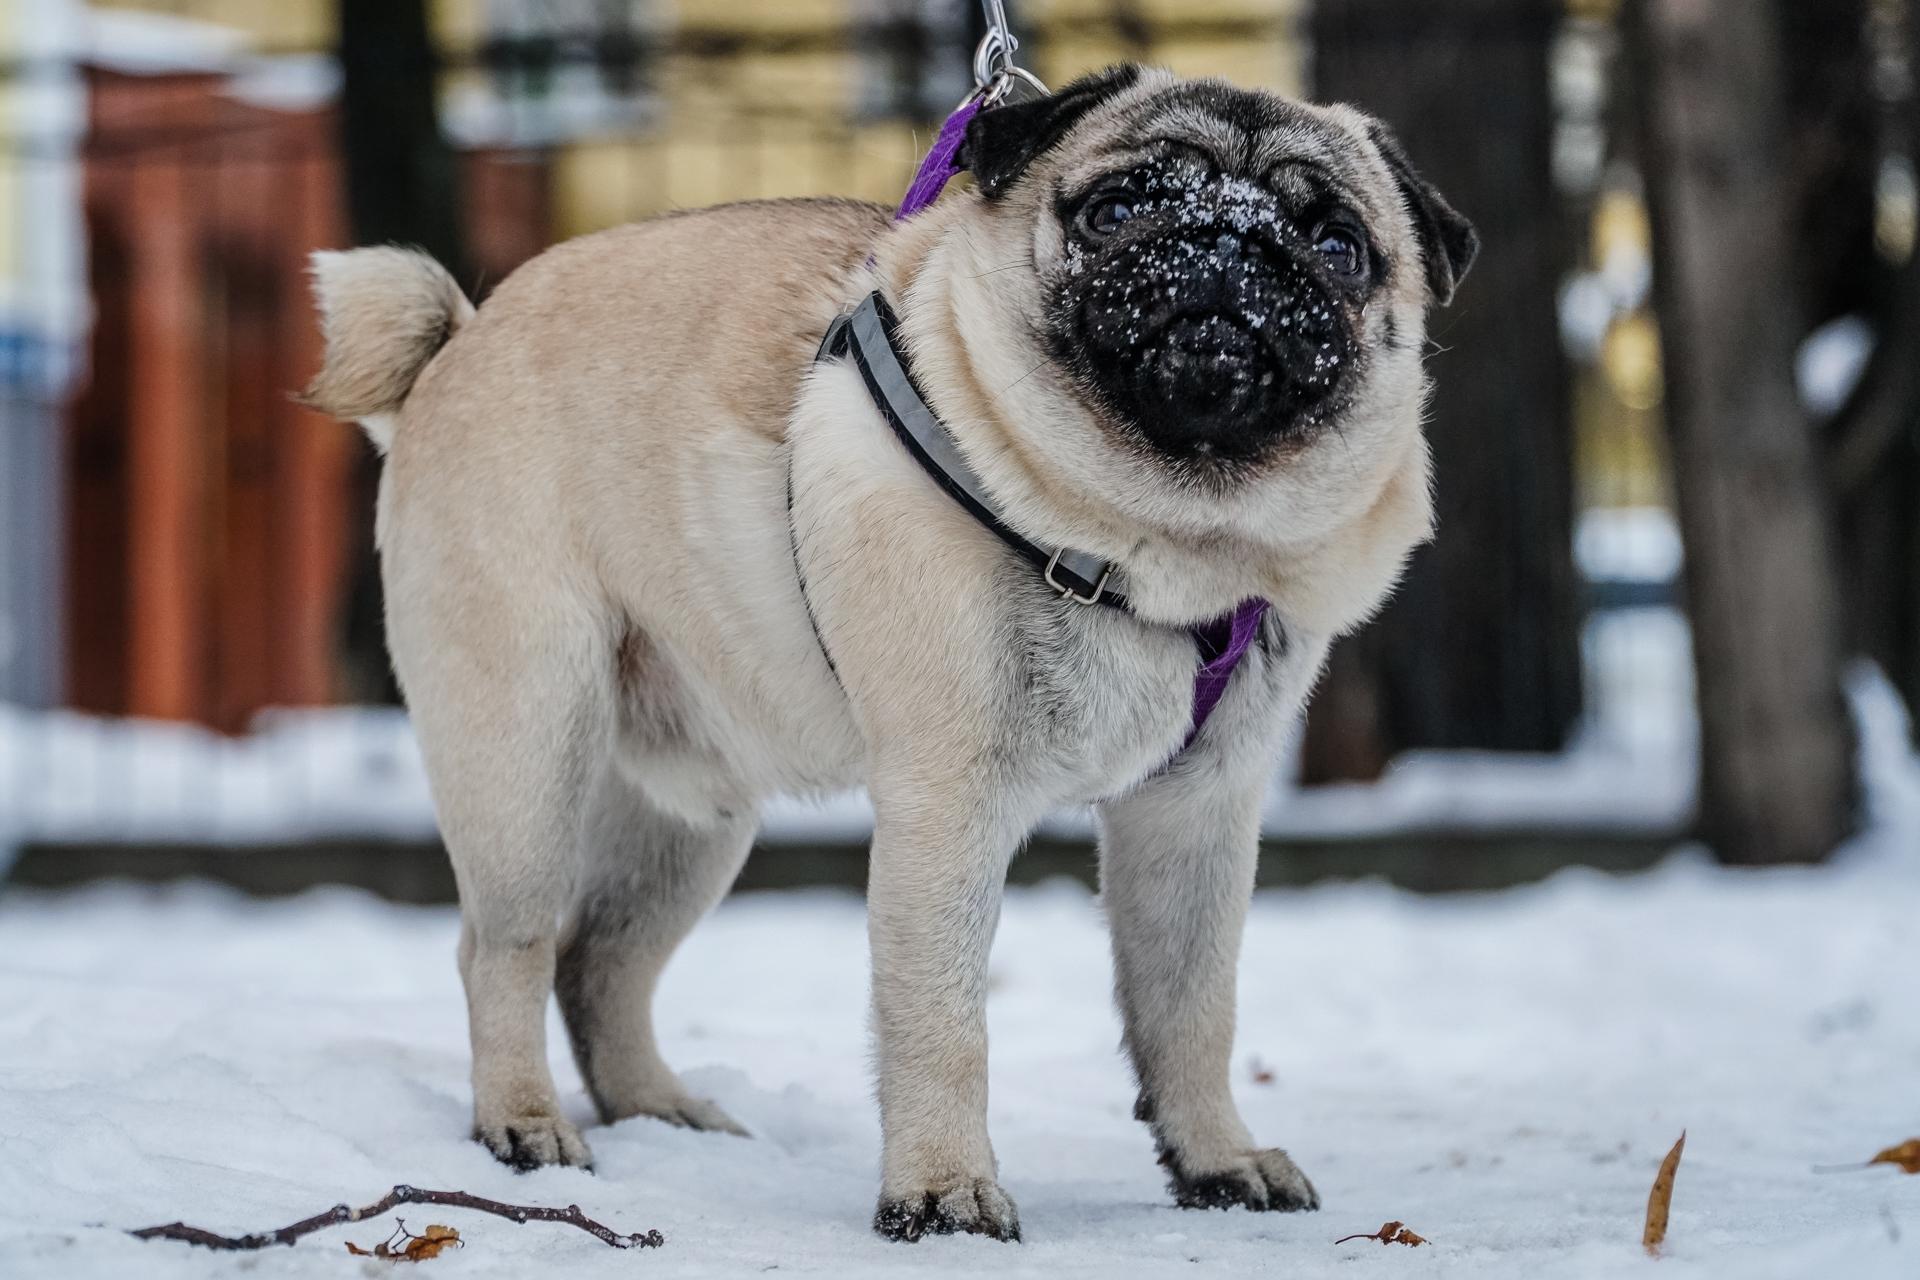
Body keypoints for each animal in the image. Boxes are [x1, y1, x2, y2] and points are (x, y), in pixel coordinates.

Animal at [303, 65, 1466, 1243]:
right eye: (1121, 207)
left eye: (1336, 242)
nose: (1232, 236)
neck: (1168, 541)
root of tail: (458, 341)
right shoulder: (947, 805)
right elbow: (942, 1020)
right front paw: (944, 1191)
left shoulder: (1197, 813)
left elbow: (1192, 1006)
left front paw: (1217, 1159)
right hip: (526, 745)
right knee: (509, 948)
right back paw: (525, 1124)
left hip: (689, 815)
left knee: (601, 966)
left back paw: (663, 1115)